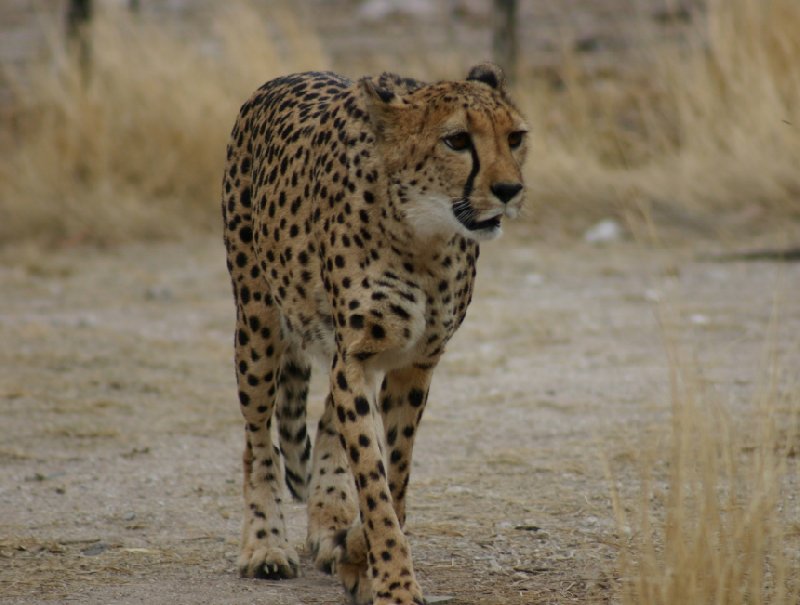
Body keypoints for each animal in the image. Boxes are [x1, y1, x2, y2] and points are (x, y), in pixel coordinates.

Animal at [222, 63, 528, 600]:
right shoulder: (359, 356)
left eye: (515, 137)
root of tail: (286, 77)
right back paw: (265, 545)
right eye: (456, 140)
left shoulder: (416, 362)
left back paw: (329, 524)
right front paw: (394, 584)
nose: (510, 190)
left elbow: (394, 473)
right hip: (257, 323)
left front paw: (358, 553)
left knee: (326, 419)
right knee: (257, 439)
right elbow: (373, 474)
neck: (423, 235)